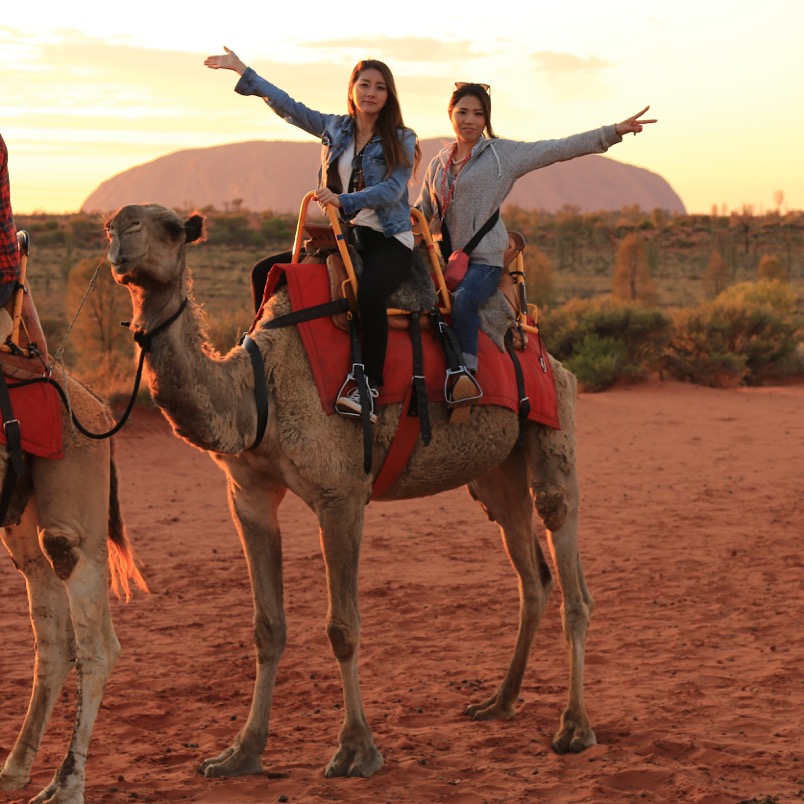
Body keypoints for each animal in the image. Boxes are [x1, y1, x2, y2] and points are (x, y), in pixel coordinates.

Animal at [0, 374, 146, 804]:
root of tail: (97, 407)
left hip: (76, 491)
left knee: (96, 646)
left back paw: (65, 786)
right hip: (23, 522)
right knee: (53, 642)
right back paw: (16, 769)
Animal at [105, 203, 596, 784]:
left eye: (171, 228)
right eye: (111, 225)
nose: (120, 236)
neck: (257, 393)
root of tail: (536, 336)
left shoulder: (340, 495)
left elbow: (343, 627)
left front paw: (356, 750)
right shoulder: (248, 497)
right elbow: (267, 628)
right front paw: (240, 753)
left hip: (552, 424)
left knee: (567, 560)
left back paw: (574, 727)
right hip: (498, 469)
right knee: (531, 573)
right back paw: (499, 701)